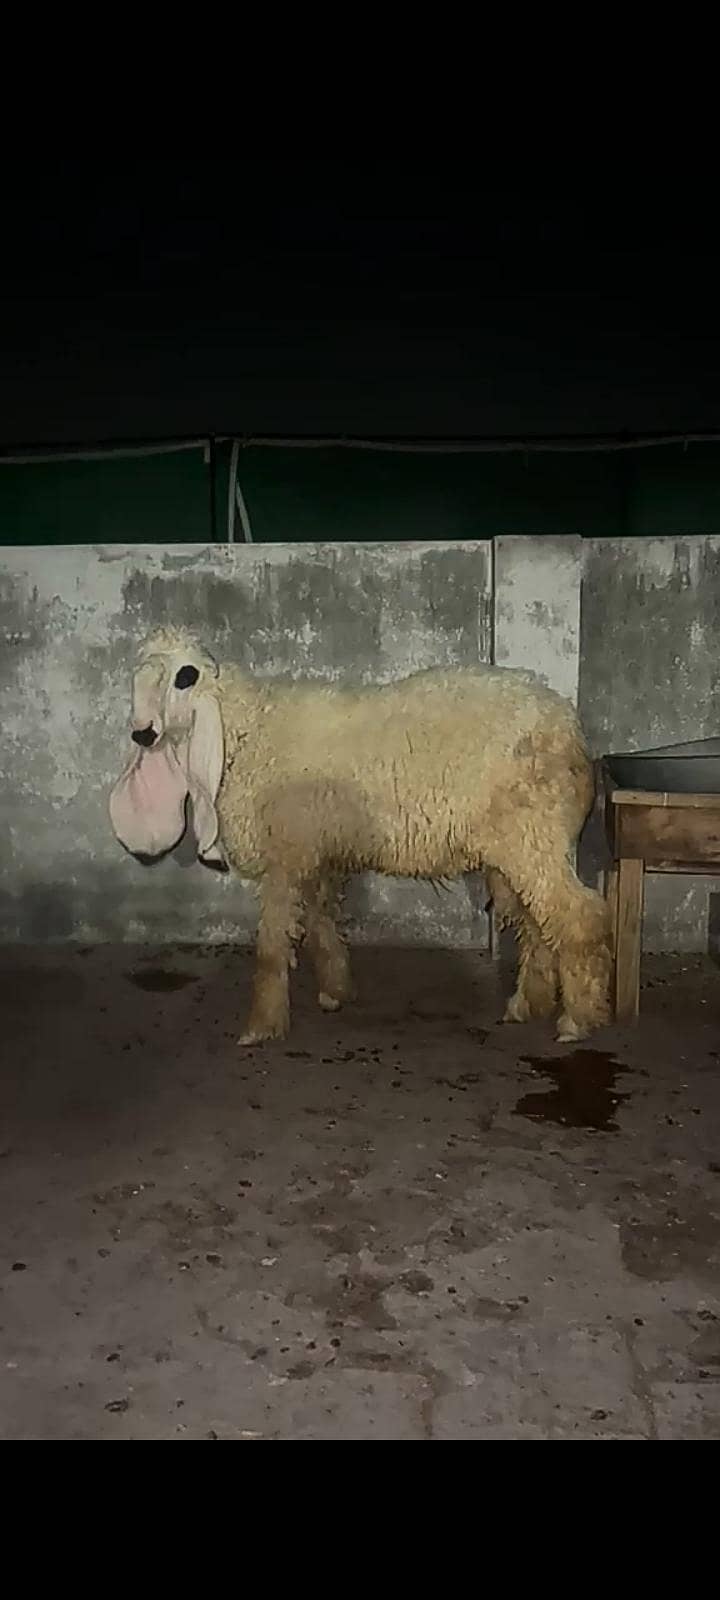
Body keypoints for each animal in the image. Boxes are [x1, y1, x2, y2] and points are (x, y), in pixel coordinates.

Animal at [110, 627, 611, 1047]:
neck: (247, 729)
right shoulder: (316, 850)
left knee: (579, 916)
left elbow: (272, 947)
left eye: (185, 677)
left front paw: (262, 1025)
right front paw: (335, 990)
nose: (143, 733)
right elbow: (320, 924)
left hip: (534, 835)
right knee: (538, 923)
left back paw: (577, 1020)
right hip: (519, 845)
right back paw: (529, 1004)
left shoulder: (286, 853)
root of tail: (571, 729)